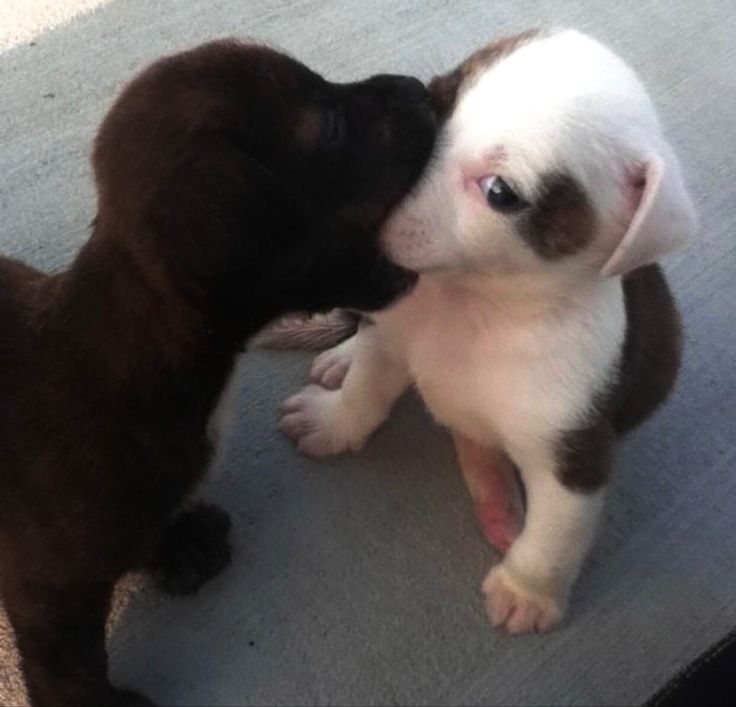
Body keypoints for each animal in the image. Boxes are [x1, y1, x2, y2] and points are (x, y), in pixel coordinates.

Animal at [276, 29, 696, 636]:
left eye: (500, 192)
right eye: (435, 101)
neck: (473, 303)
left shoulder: (572, 457)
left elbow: (556, 535)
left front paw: (528, 590)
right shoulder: (391, 337)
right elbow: (366, 389)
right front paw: (335, 421)